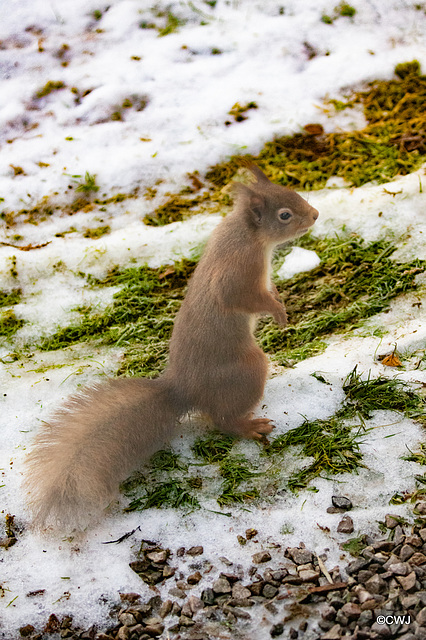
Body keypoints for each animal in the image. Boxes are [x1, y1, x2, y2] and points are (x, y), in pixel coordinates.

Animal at [23, 162, 316, 528]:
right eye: (284, 215)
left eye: (293, 193)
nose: (315, 215)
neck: (246, 235)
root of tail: (184, 390)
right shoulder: (237, 271)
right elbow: (240, 297)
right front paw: (277, 312)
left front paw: (279, 302)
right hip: (248, 369)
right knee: (222, 421)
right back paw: (249, 426)